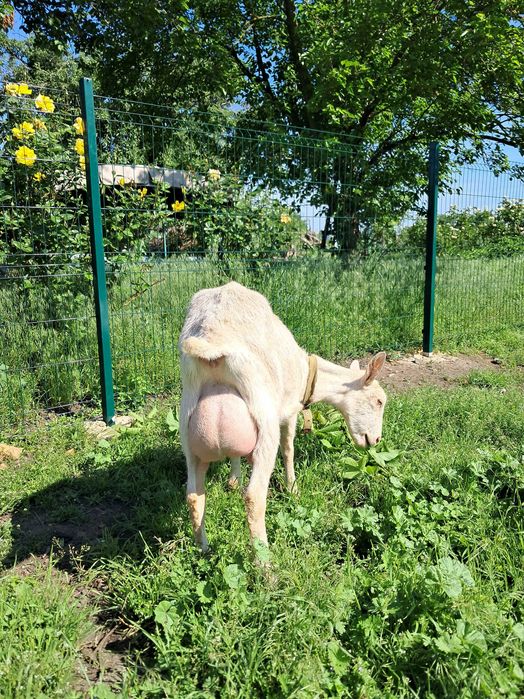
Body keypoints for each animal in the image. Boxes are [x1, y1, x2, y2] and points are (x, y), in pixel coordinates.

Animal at [179, 281, 387, 551]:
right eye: (379, 401)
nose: (376, 440)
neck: (307, 373)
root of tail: (211, 341)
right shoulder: (289, 411)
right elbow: (288, 449)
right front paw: (292, 488)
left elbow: (235, 455)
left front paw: (233, 480)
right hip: (265, 419)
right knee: (254, 496)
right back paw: (264, 560)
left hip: (187, 426)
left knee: (193, 495)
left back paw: (203, 548)